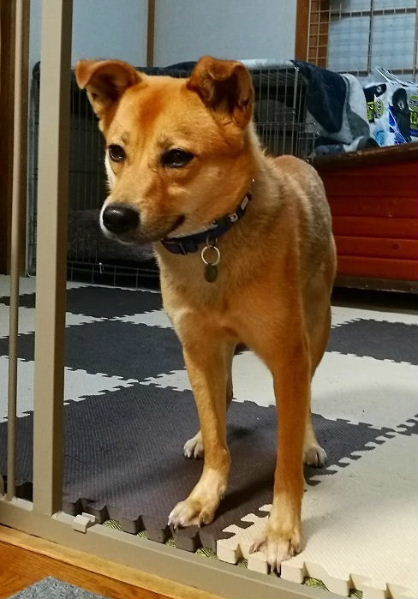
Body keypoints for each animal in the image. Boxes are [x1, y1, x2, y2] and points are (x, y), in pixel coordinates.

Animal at [76, 56, 336, 571]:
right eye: (117, 152)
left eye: (178, 157)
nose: (114, 216)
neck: (211, 243)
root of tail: (296, 158)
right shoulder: (196, 346)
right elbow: (218, 436)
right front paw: (205, 498)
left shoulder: (288, 355)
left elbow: (284, 460)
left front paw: (280, 530)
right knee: (221, 395)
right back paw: (200, 436)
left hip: (317, 327)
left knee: (306, 400)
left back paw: (310, 444)